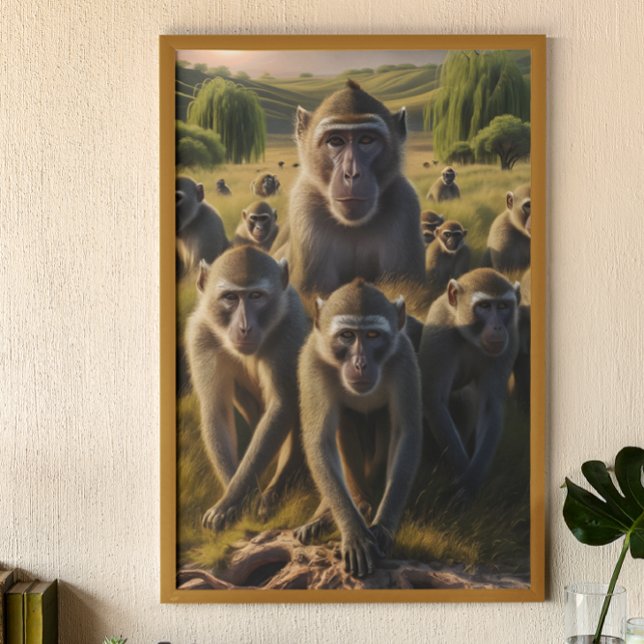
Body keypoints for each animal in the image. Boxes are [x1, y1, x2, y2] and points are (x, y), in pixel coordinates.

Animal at [185, 246, 309, 531]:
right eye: (230, 297)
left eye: (256, 296)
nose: (244, 327)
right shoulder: (200, 336)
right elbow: (216, 411)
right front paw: (236, 498)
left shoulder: (290, 326)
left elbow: (282, 405)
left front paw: (232, 499)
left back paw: (279, 488)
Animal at [282, 79, 426, 314]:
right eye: (335, 141)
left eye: (366, 140)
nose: (352, 174)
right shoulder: (304, 207)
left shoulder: (405, 204)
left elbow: (409, 295)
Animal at [295, 279, 422, 577]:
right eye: (347, 335)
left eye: (373, 335)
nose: (360, 364)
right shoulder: (312, 361)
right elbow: (320, 442)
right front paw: (353, 532)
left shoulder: (403, 357)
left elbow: (406, 434)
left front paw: (384, 527)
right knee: (345, 417)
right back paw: (351, 506)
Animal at [419, 268, 520, 494]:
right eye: (484, 306)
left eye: (503, 306)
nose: (498, 327)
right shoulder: (440, 331)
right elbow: (434, 400)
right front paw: (463, 474)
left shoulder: (509, 340)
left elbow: (490, 406)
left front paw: (473, 478)